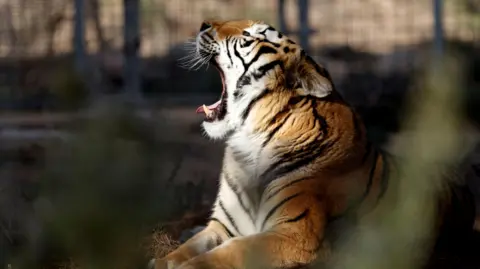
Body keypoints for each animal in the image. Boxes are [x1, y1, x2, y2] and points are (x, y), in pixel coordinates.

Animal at [149, 19, 476, 268]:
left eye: (249, 36)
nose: (203, 24)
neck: (248, 144)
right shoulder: (223, 224)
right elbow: (190, 246)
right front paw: (163, 260)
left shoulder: (295, 234)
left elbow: (231, 252)